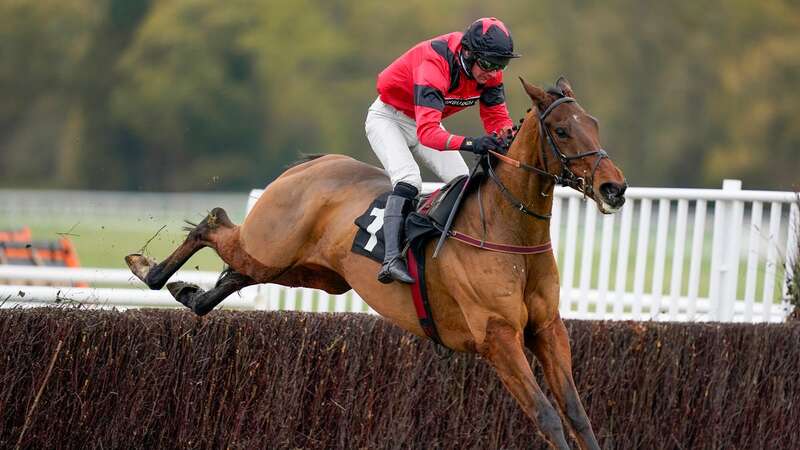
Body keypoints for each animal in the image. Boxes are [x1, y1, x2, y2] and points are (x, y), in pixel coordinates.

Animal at [125, 78, 628, 450]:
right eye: (561, 130)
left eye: (595, 124)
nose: (614, 188)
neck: (506, 233)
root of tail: (311, 166)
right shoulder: (497, 337)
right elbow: (548, 415)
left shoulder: (546, 328)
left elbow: (577, 414)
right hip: (268, 248)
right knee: (213, 222)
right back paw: (148, 269)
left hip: (310, 273)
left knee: (234, 274)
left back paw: (189, 293)